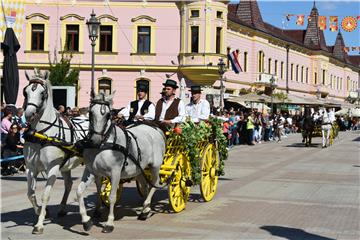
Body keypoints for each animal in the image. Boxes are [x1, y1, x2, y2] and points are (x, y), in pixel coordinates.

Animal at [22, 69, 88, 234]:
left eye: (42, 93)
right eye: (25, 92)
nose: (29, 114)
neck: (41, 135)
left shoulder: (52, 168)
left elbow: (45, 195)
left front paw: (39, 224)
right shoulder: (31, 168)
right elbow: (30, 194)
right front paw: (41, 211)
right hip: (66, 165)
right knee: (69, 184)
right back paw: (63, 208)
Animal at [77, 93, 166, 233]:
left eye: (108, 115)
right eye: (90, 113)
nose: (95, 140)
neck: (103, 145)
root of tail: (155, 128)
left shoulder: (115, 173)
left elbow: (112, 197)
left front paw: (109, 223)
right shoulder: (90, 170)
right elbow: (80, 191)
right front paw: (87, 221)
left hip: (155, 166)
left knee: (155, 184)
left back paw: (146, 207)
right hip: (139, 169)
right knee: (145, 185)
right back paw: (145, 209)